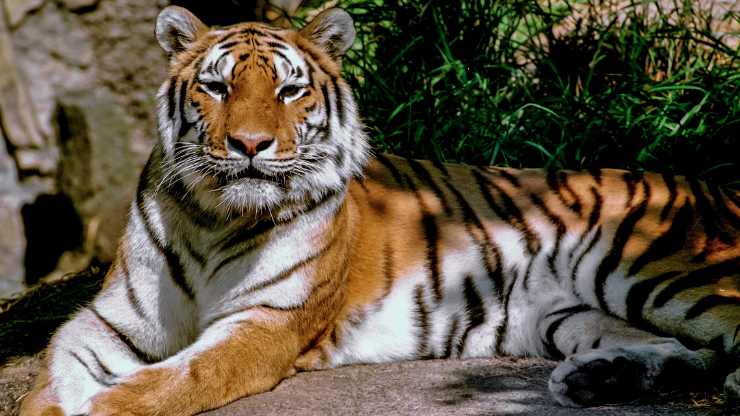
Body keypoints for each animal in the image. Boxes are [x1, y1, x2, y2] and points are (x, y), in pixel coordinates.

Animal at [18, 4, 740, 414]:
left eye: (289, 91)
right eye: (217, 87)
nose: (249, 145)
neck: (211, 218)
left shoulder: (264, 324)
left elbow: (172, 381)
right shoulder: (108, 322)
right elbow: (48, 385)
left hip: (655, 270)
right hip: (566, 312)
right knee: (683, 349)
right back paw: (602, 381)